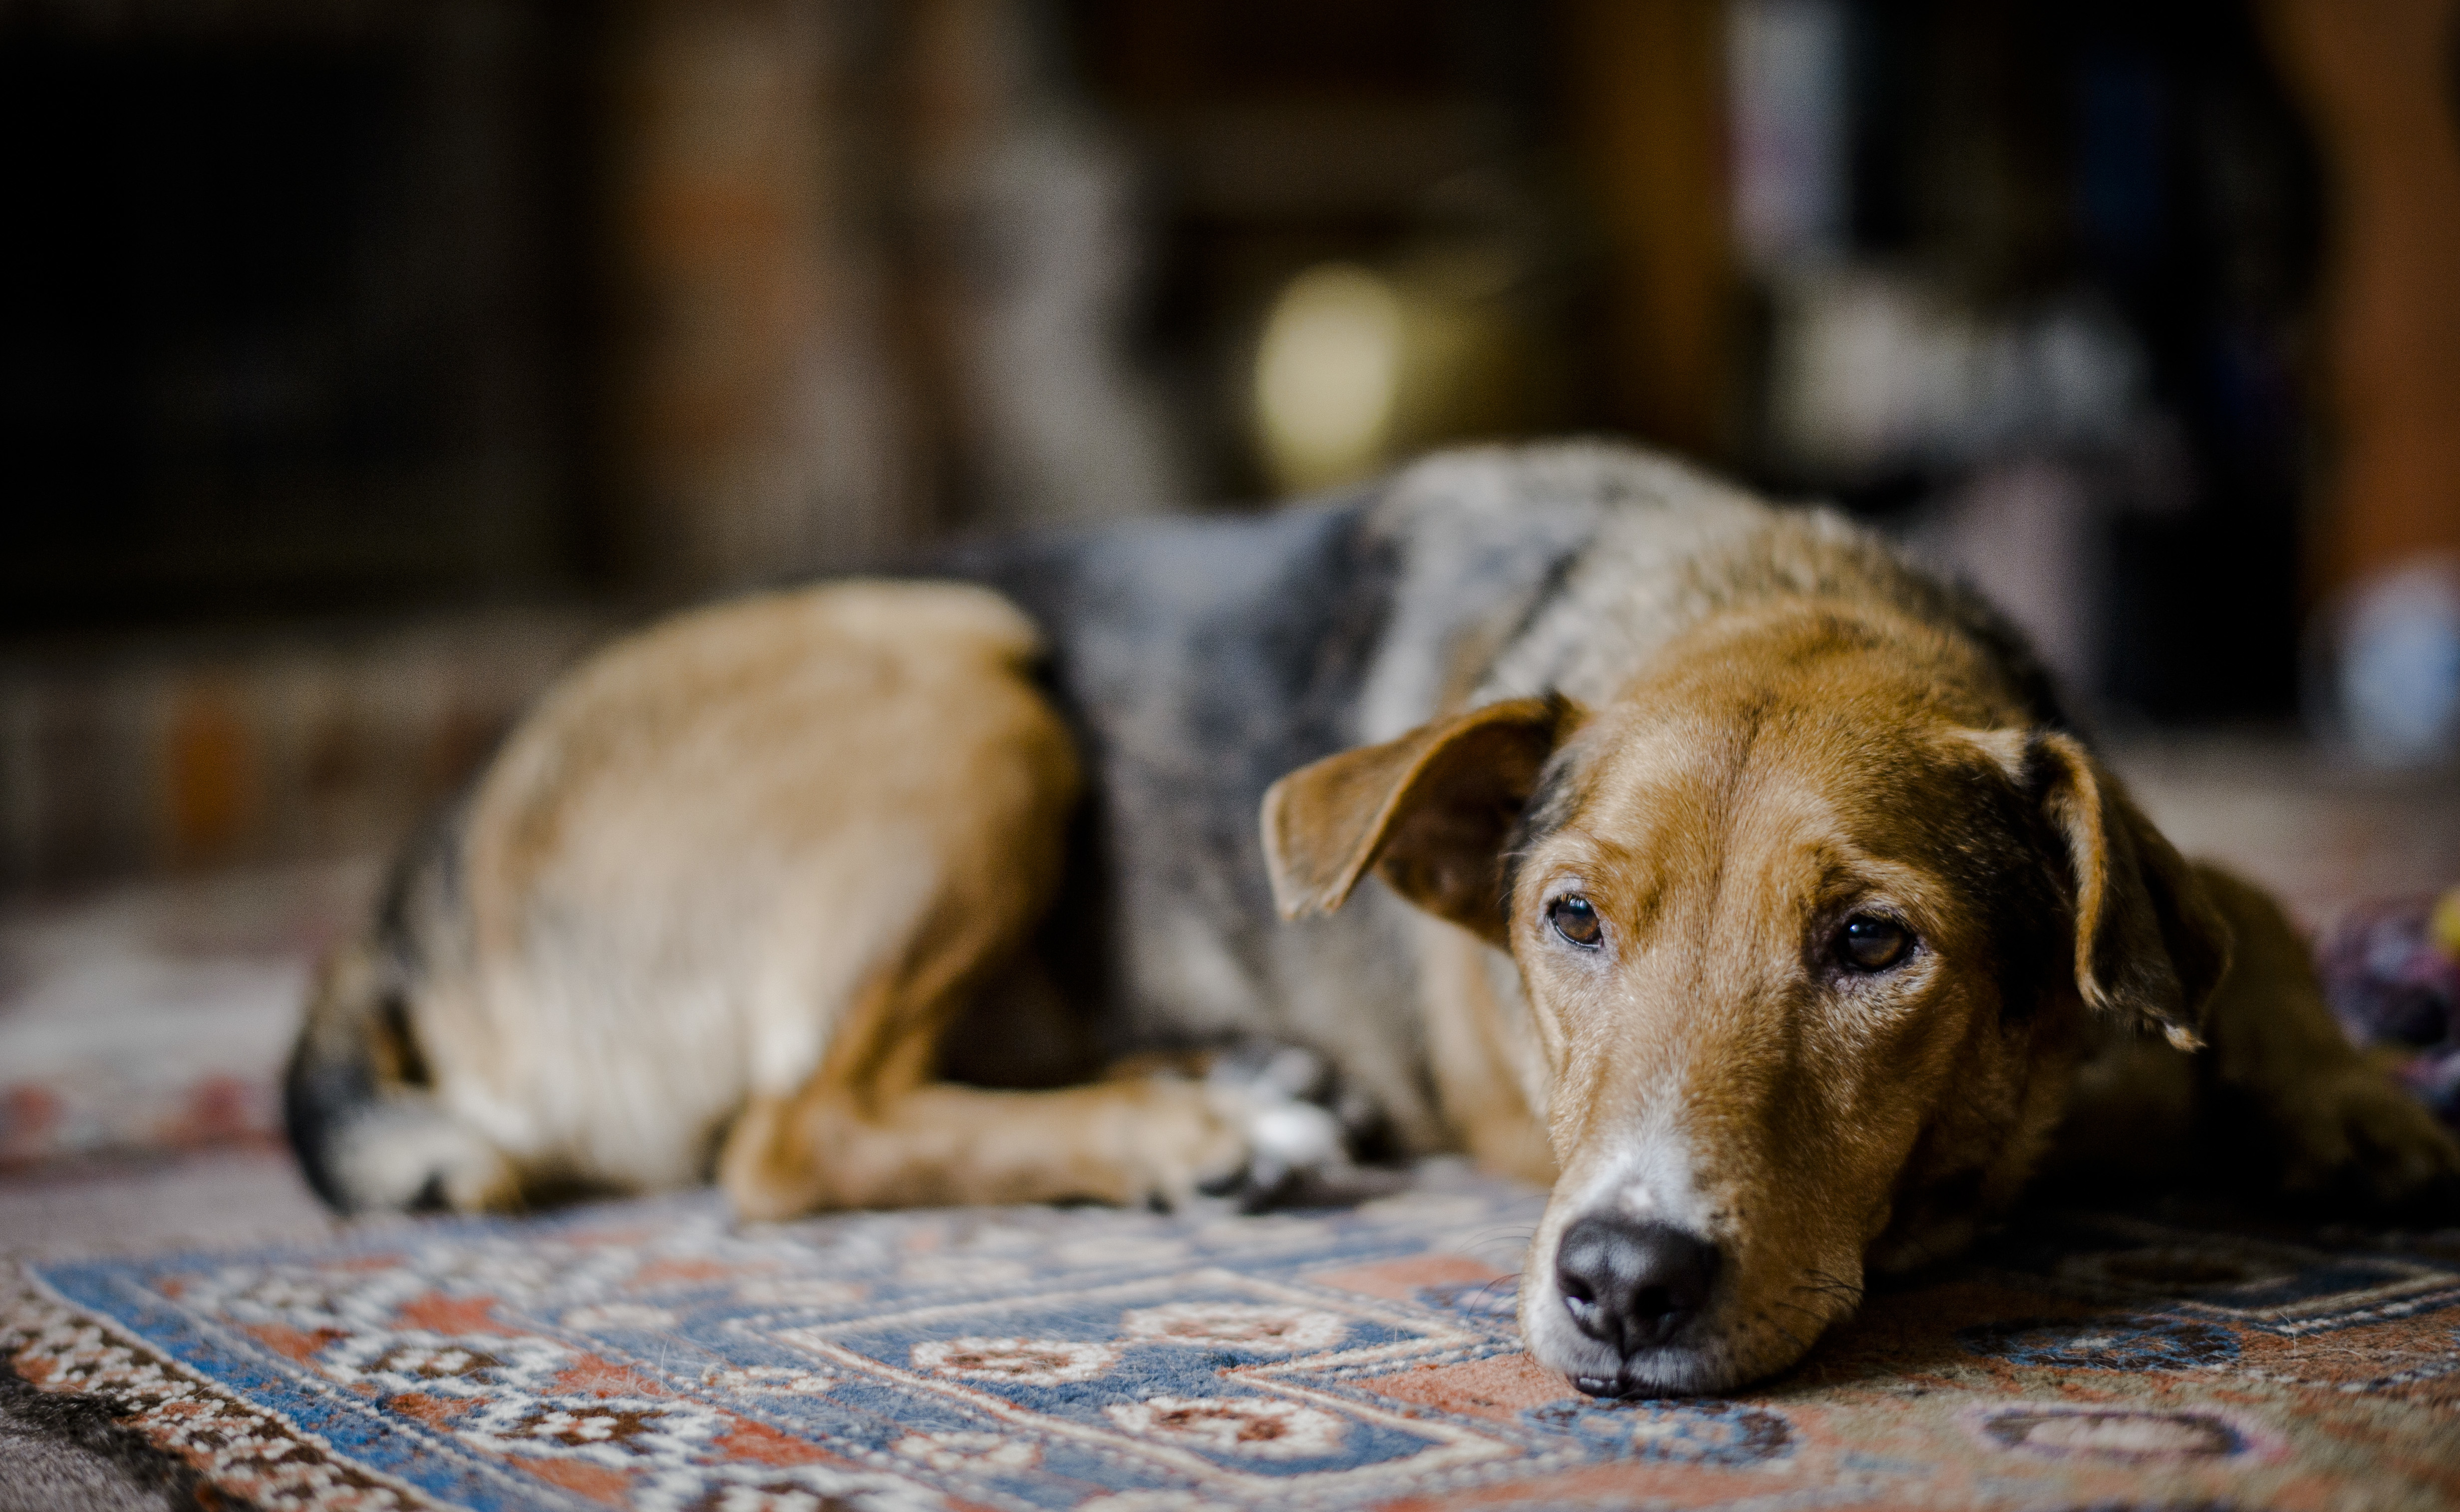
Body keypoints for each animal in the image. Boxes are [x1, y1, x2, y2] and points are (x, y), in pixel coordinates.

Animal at [293, 442, 2460, 1406]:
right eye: (1567, 919)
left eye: (1870, 945)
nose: (1618, 1283)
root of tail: (403, 896)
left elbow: (2238, 902)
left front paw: (2343, 1097)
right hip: (955, 670)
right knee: (790, 1126)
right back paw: (1202, 1124)